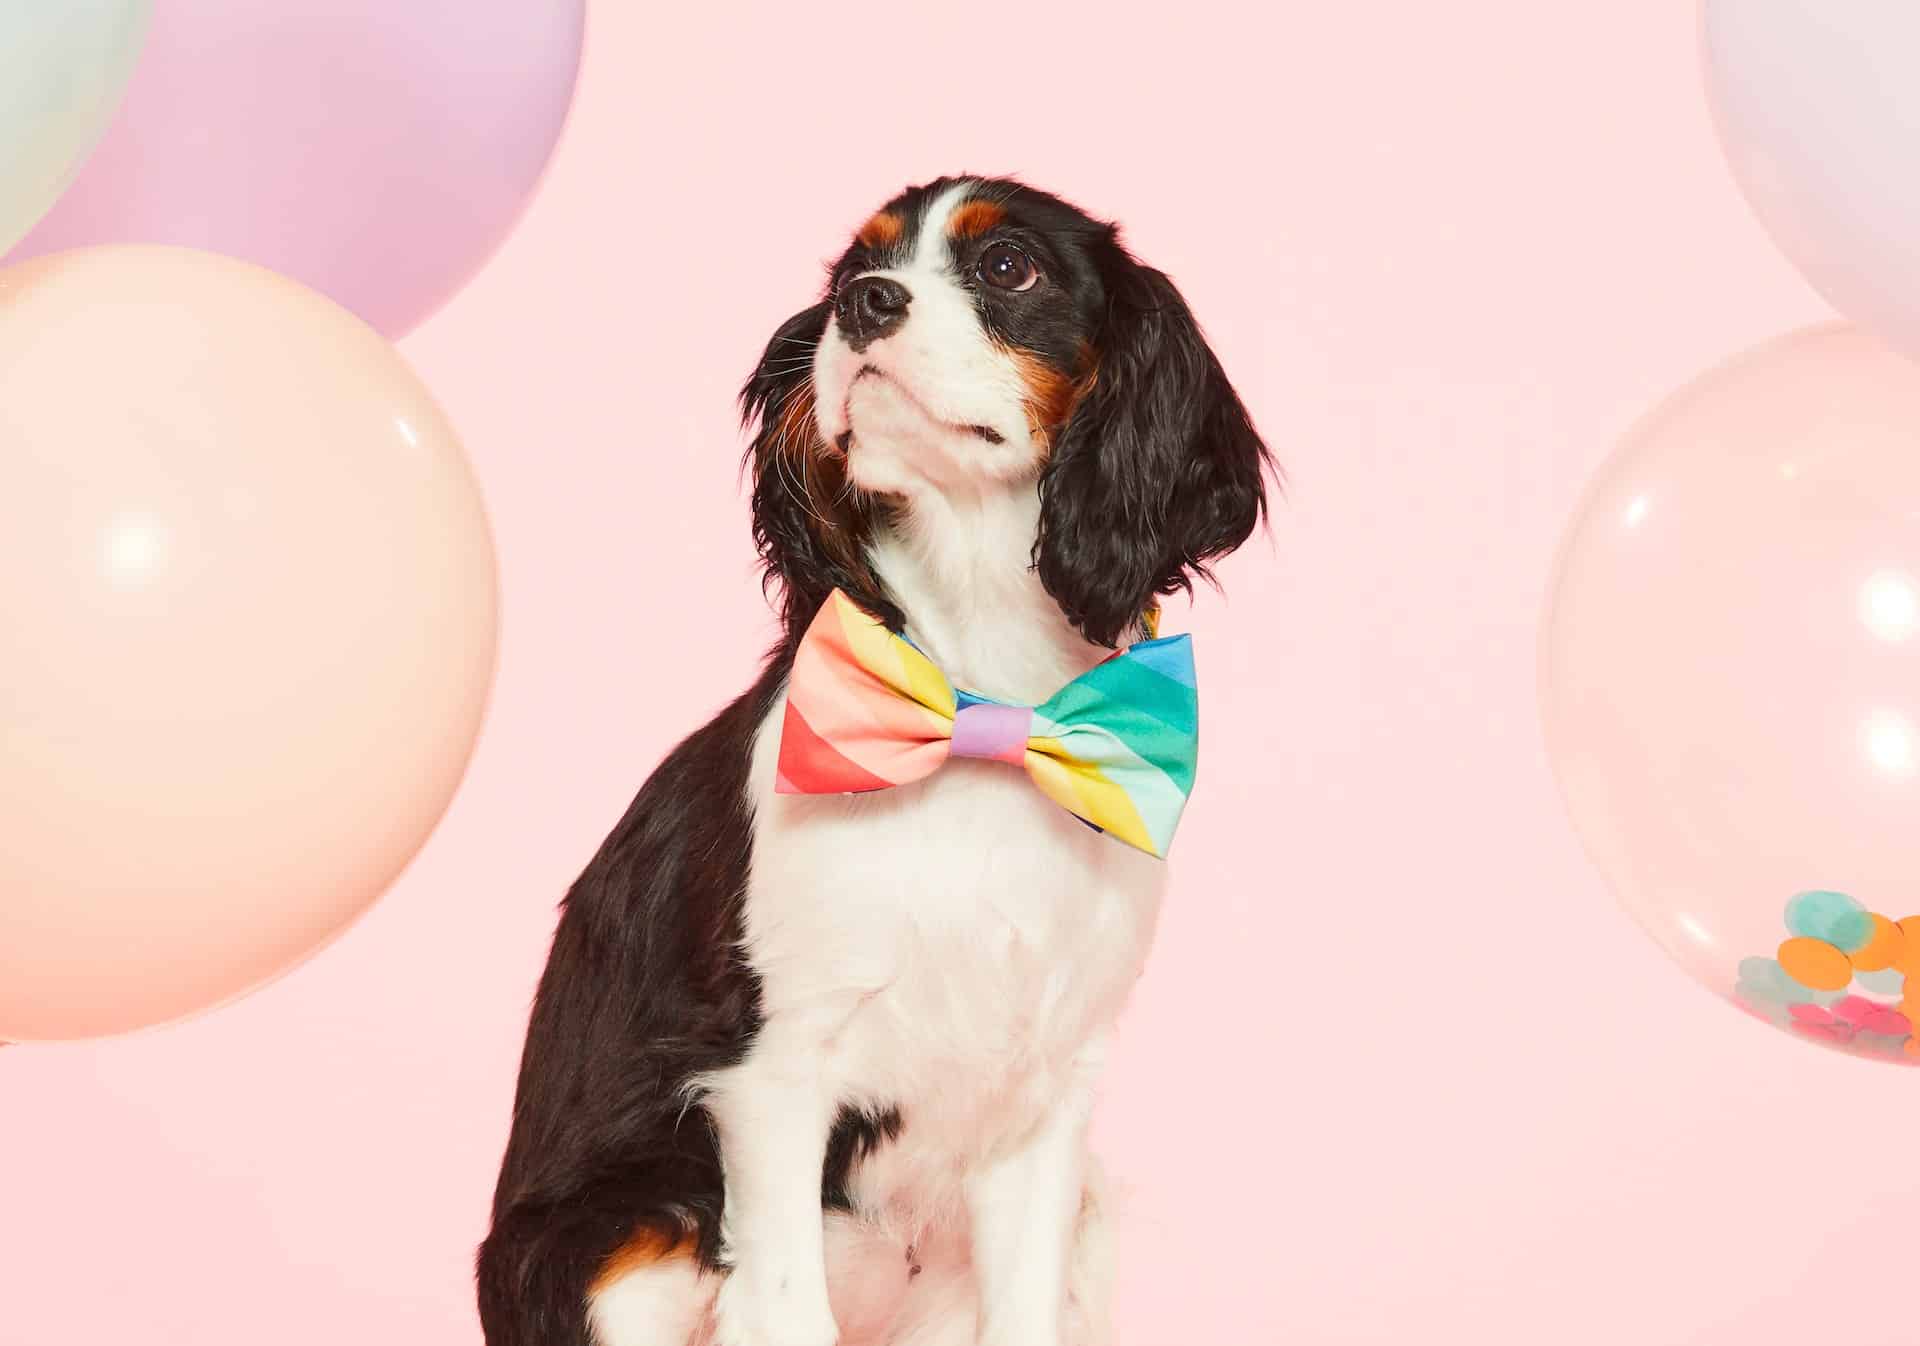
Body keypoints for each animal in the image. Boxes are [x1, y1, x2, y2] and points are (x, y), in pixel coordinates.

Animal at [474, 175, 1267, 1344]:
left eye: (1007, 267)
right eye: (854, 270)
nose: (865, 305)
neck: (978, 694)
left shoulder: (1045, 1100)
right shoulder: (773, 1077)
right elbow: (786, 1299)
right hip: (623, 1237)